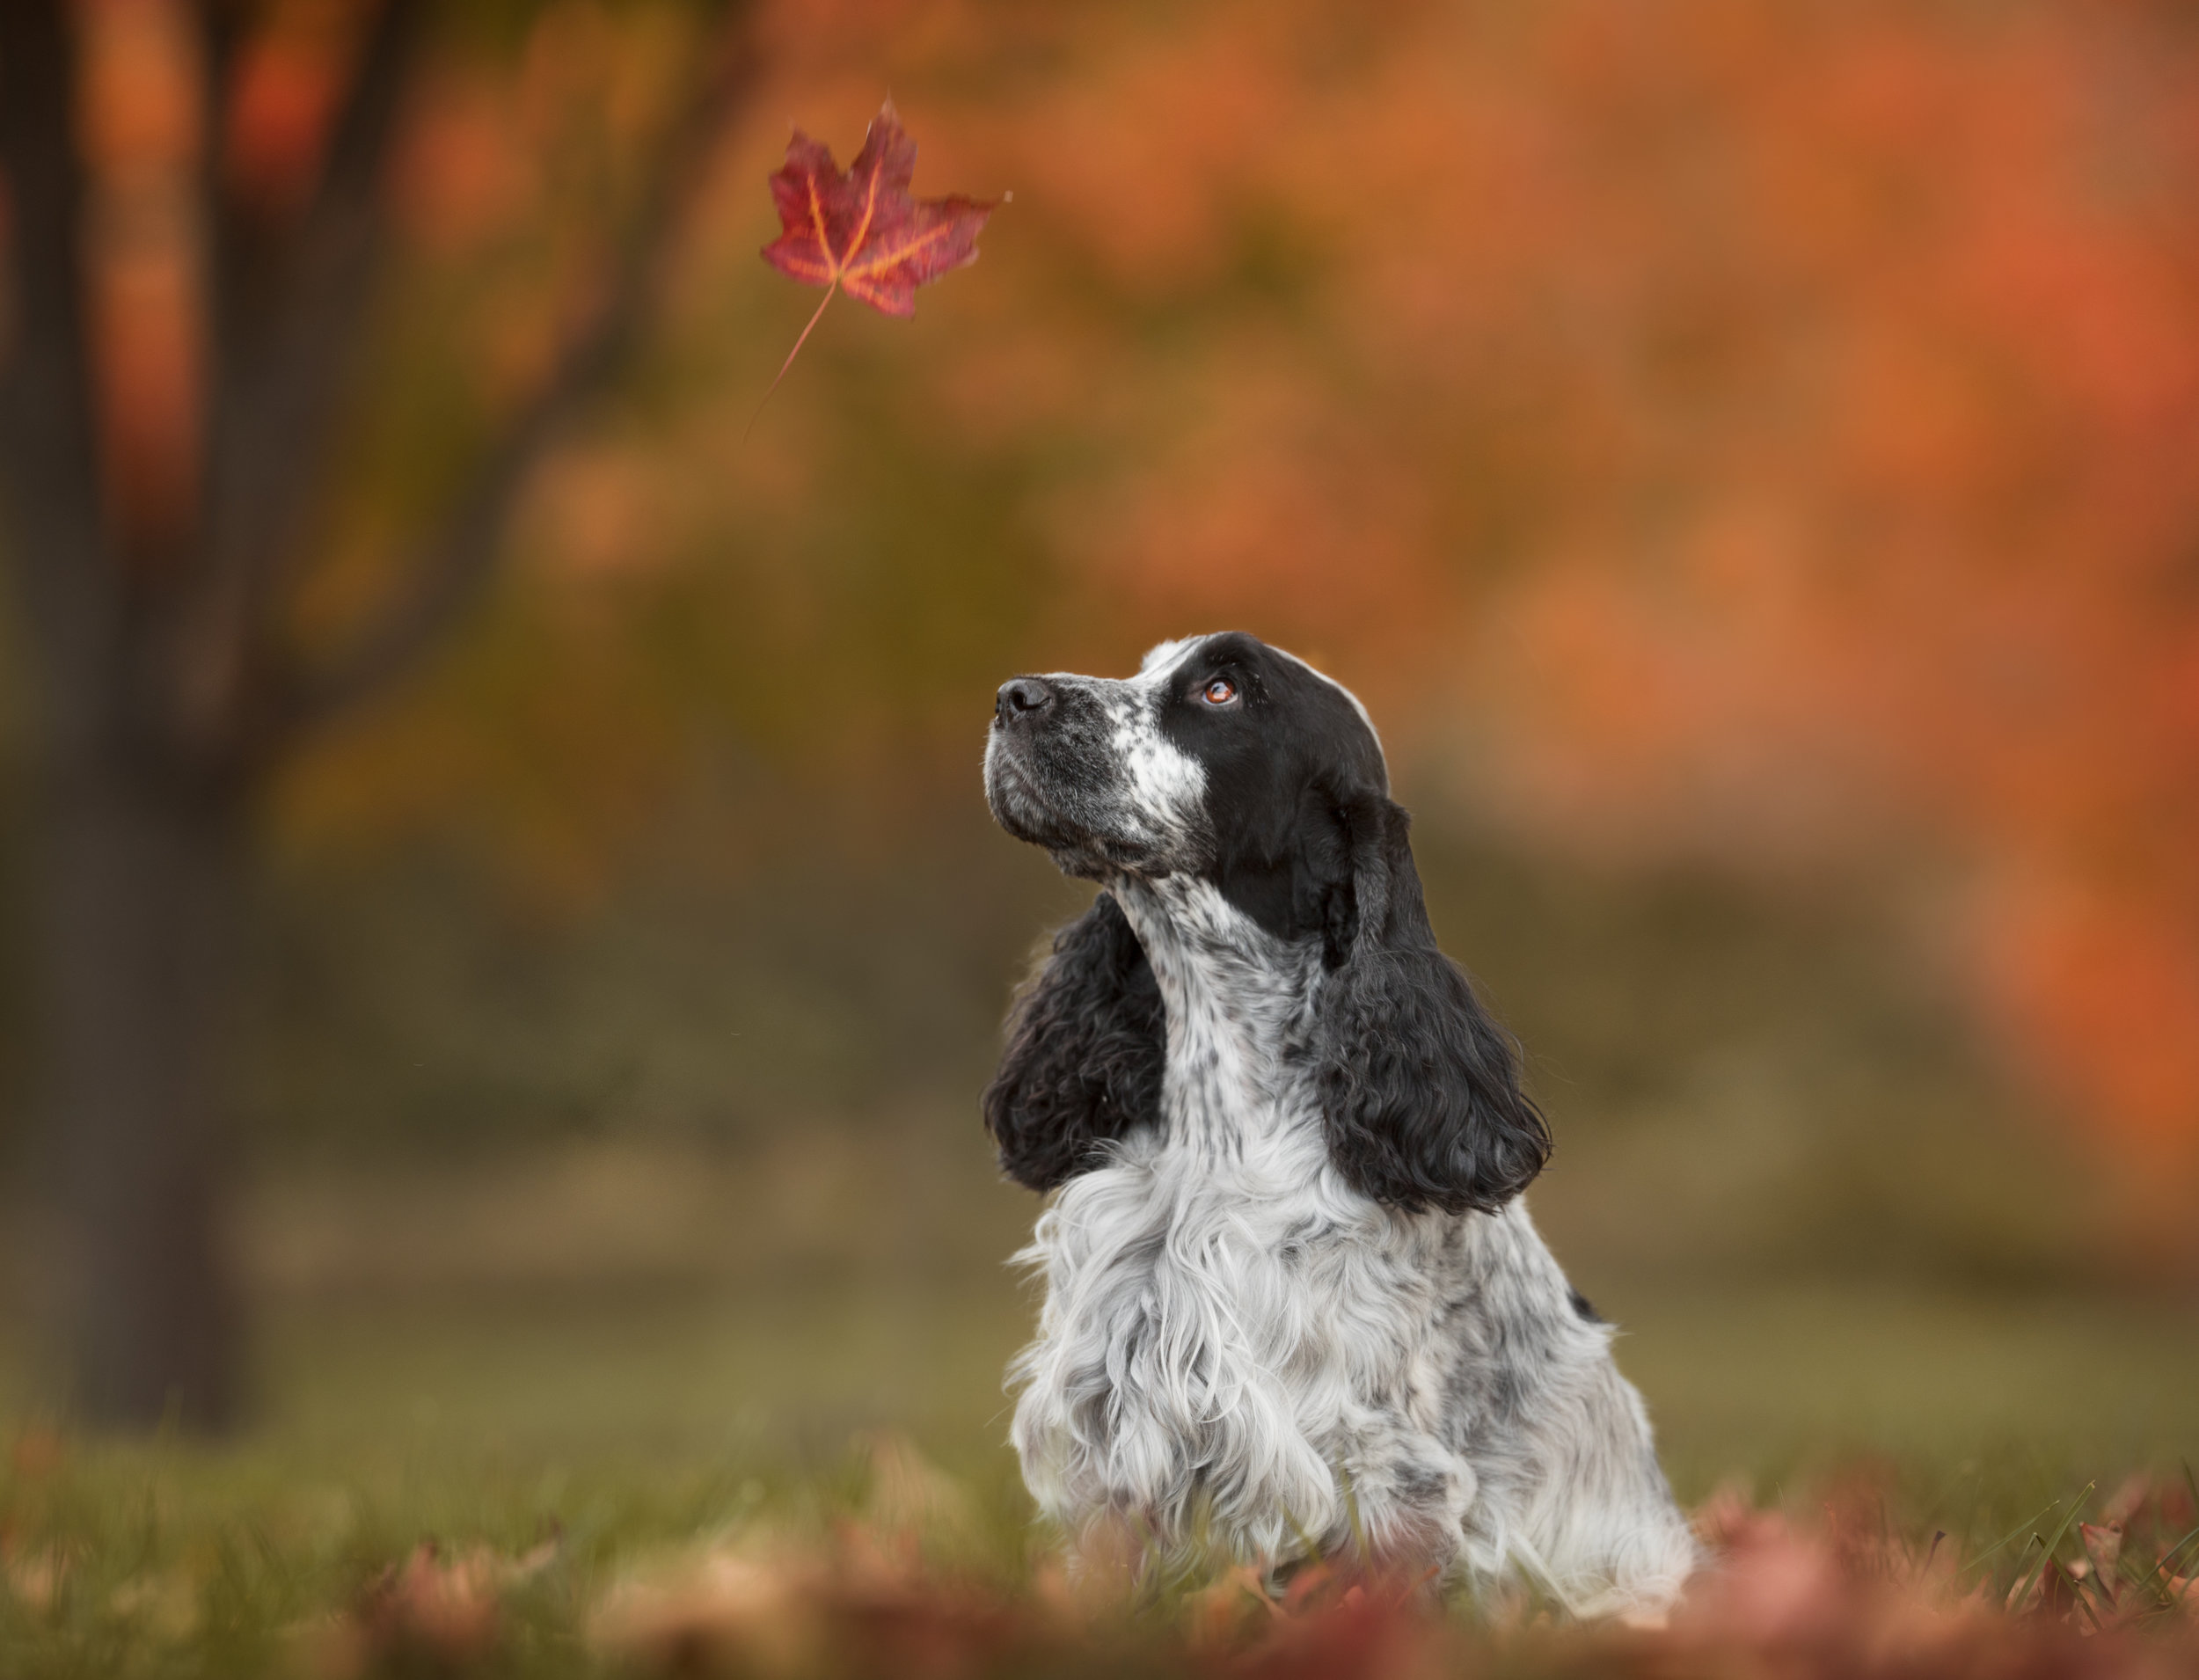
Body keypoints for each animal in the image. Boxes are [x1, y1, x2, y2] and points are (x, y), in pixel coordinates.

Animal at [985, 629, 1698, 1618]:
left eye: (1221, 689)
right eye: (1145, 667)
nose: (1013, 696)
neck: (1219, 1126)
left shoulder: (1382, 1462)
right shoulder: (1115, 1432)